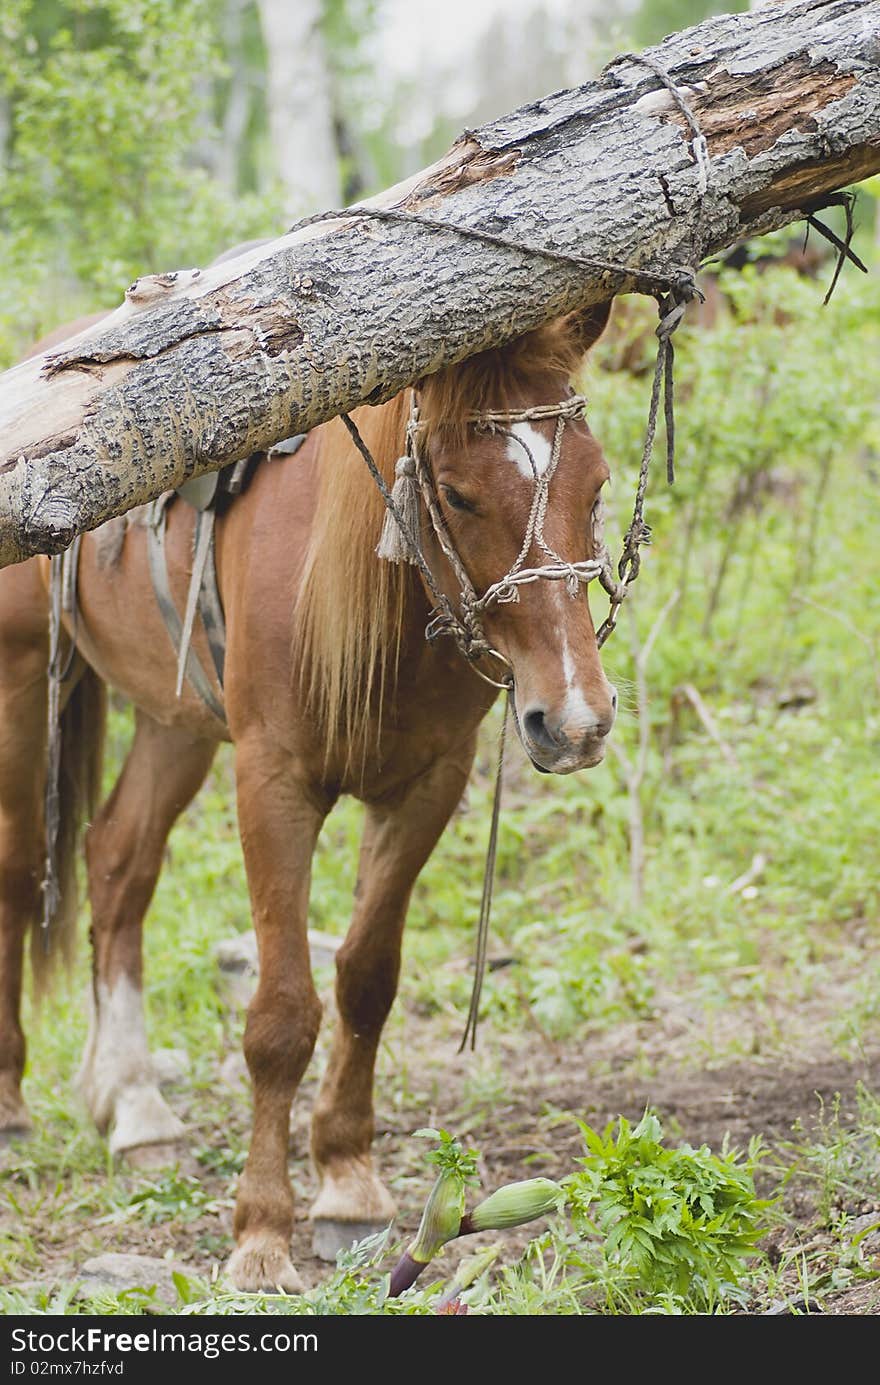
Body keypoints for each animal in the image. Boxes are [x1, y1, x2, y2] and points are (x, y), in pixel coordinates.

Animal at [0, 297, 620, 1290]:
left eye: (595, 486)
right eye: (458, 495)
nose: (575, 720)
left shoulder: (428, 784)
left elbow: (367, 979)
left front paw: (348, 1186)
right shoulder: (274, 783)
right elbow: (282, 1013)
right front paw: (260, 1231)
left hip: (176, 717)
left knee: (118, 861)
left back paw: (133, 1103)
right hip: (25, 681)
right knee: (24, 870)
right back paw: (14, 1103)